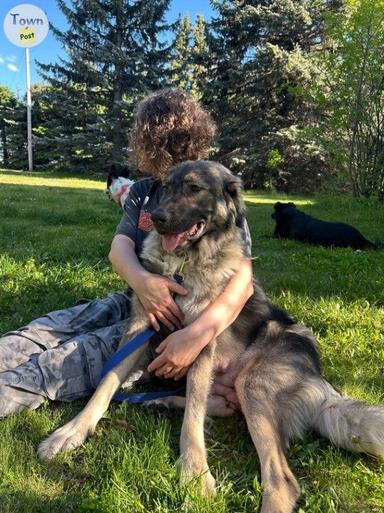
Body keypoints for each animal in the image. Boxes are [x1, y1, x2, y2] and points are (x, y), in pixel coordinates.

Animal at [38, 162, 384, 512]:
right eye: (166, 187)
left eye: (194, 188)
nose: (157, 217)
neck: (182, 264)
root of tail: (320, 383)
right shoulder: (140, 326)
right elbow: (107, 383)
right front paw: (72, 431)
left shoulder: (200, 340)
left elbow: (193, 418)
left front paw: (194, 472)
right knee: (215, 404)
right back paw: (162, 401)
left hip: (253, 381)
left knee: (280, 478)